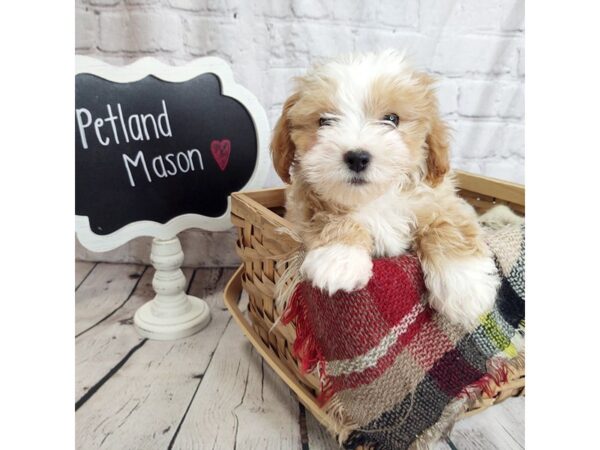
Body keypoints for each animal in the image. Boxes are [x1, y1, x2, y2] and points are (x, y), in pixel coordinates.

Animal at [270, 51, 500, 328]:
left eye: (392, 119)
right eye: (324, 122)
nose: (357, 157)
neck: (376, 198)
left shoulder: (440, 199)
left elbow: (451, 226)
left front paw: (466, 287)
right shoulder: (303, 204)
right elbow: (327, 217)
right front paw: (339, 259)